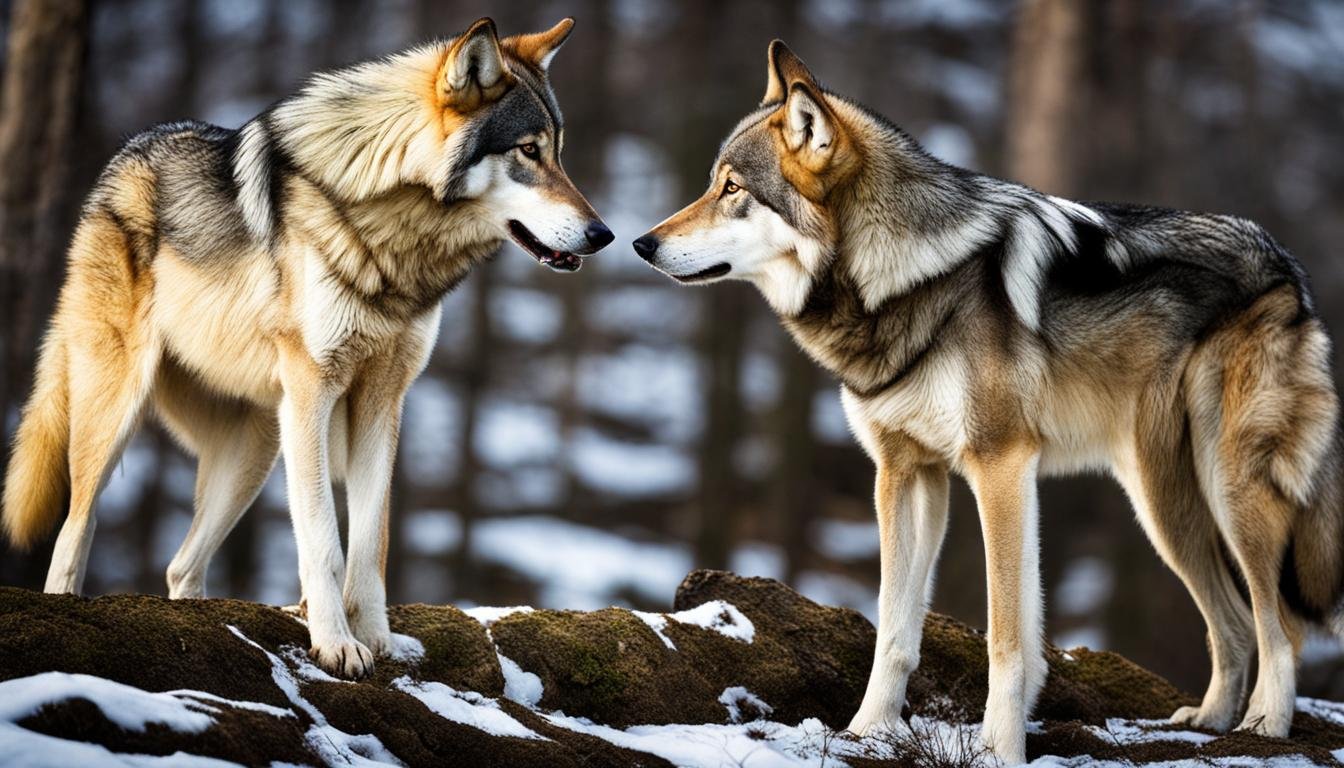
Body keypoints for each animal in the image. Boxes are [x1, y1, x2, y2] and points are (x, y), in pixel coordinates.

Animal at [2, 17, 611, 678]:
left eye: (559, 151)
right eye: (528, 151)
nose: (603, 233)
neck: (394, 236)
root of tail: (121, 157)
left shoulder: (383, 401)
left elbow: (371, 540)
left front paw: (378, 639)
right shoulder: (315, 391)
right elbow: (322, 538)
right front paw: (337, 643)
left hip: (258, 447)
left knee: (181, 566)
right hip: (123, 411)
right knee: (74, 529)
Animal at [634, 40, 1343, 763]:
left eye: (732, 189)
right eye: (712, 183)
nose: (642, 243)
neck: (904, 279)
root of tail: (1290, 268)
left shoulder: (1000, 465)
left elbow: (1006, 635)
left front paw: (1000, 748)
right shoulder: (907, 474)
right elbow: (895, 627)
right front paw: (865, 731)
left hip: (1228, 490)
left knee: (1278, 623)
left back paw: (1266, 726)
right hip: (1161, 506)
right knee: (1232, 622)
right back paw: (1211, 722)